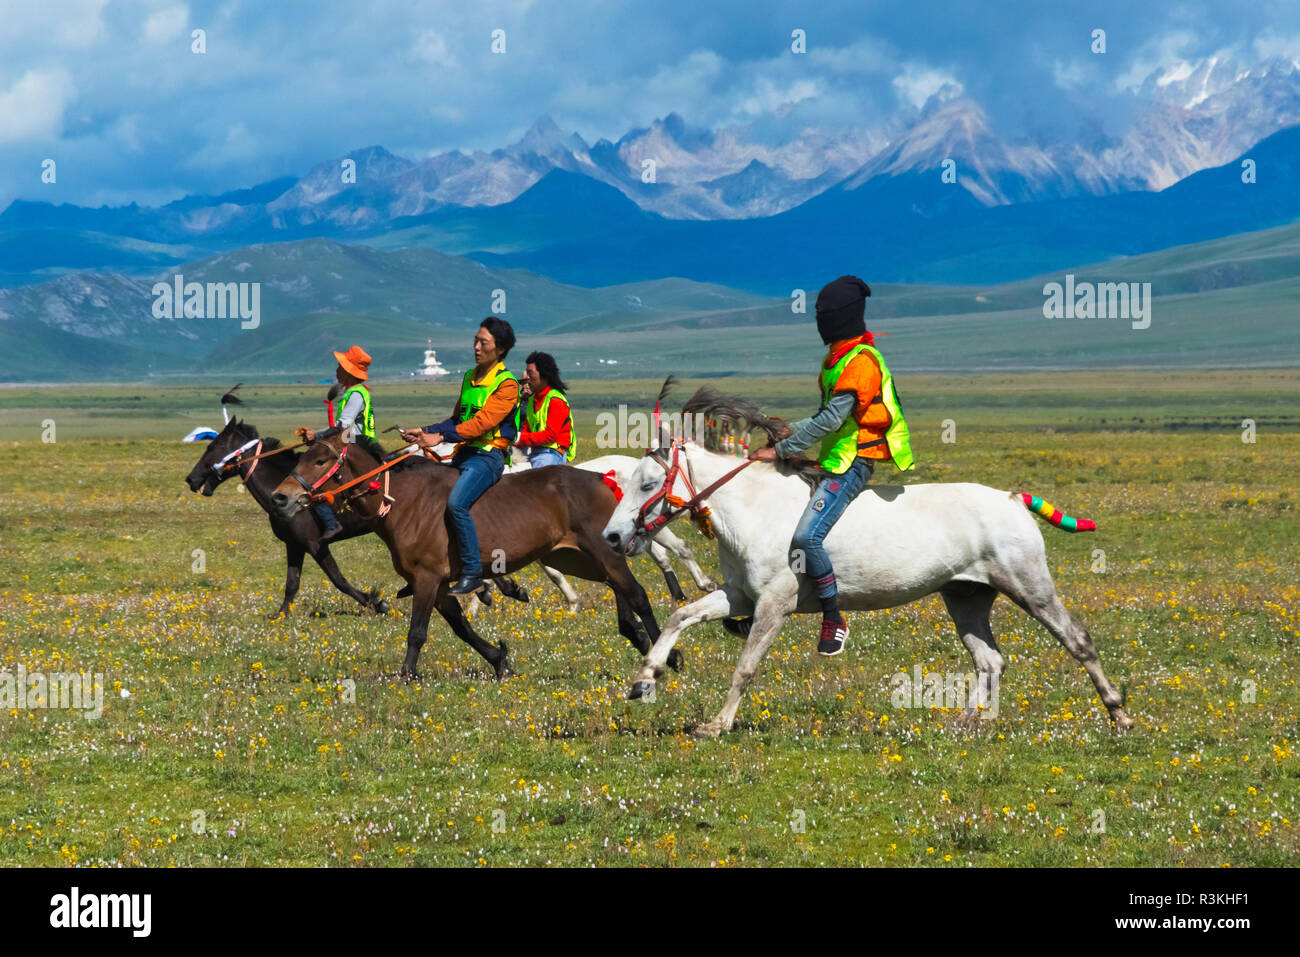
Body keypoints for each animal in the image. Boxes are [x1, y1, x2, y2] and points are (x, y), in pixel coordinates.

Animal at [263, 434, 670, 681]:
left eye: (320, 461)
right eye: (302, 457)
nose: (281, 497)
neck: (404, 503)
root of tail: (603, 479)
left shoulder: (427, 578)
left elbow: (417, 631)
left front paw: (406, 675)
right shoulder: (439, 584)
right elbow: (461, 627)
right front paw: (499, 659)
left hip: (601, 553)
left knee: (637, 594)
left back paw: (664, 655)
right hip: (577, 558)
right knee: (619, 589)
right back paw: (637, 636)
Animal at [603, 384, 1133, 738]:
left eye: (648, 483)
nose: (612, 536)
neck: (753, 512)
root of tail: (1012, 498)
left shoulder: (774, 604)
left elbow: (746, 668)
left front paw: (716, 724)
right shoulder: (739, 596)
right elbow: (681, 615)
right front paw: (644, 680)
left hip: (1029, 587)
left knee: (1078, 640)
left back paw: (1119, 712)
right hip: (966, 596)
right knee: (990, 660)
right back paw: (964, 721)